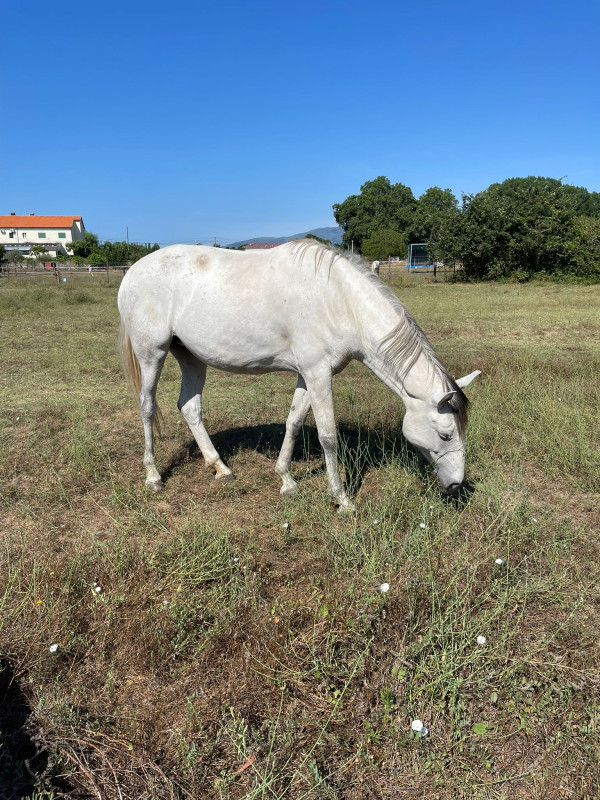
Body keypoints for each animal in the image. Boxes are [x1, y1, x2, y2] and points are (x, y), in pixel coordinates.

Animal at [118, 240, 480, 510]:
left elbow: (293, 422)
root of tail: (132, 271)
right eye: (445, 434)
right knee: (147, 407)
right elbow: (328, 436)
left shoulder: (309, 375)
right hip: (153, 354)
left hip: (191, 357)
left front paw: (287, 480)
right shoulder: (319, 375)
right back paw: (153, 476)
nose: (455, 485)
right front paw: (342, 499)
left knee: (190, 407)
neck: (339, 300)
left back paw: (220, 467)